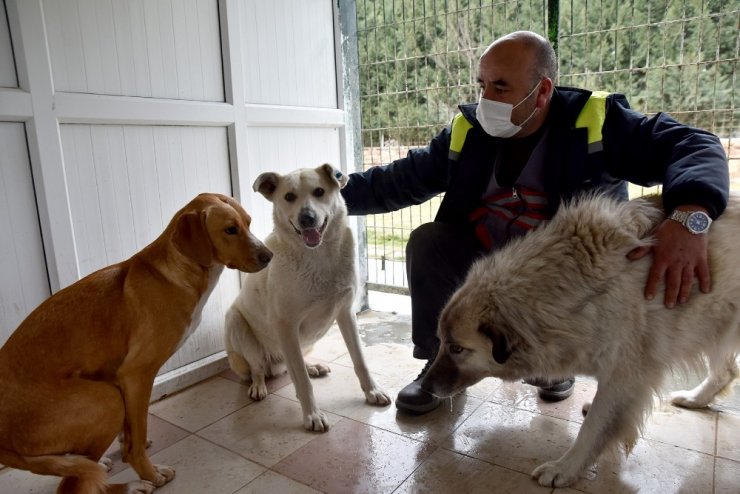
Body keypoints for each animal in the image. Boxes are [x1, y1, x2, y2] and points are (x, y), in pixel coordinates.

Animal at [0, 193, 272, 494]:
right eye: (230, 229)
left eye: (248, 222)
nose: (269, 256)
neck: (177, 271)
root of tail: (5, 447)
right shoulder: (136, 374)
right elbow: (136, 441)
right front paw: (150, 473)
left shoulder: (117, 375)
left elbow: (131, 430)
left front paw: (125, 442)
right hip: (106, 400)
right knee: (72, 487)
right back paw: (132, 485)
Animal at [223, 164, 390, 430]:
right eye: (289, 197)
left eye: (319, 191)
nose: (307, 219)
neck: (317, 256)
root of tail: (274, 365)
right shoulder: (286, 326)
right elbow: (301, 380)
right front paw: (312, 414)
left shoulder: (346, 314)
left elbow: (360, 360)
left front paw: (372, 391)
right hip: (236, 323)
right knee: (259, 368)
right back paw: (259, 386)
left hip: (303, 343)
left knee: (294, 363)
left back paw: (312, 367)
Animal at [420, 192, 736, 486]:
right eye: (440, 342)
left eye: (457, 348)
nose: (425, 386)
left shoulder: (626, 374)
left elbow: (595, 427)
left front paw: (566, 468)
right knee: (727, 372)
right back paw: (695, 399)